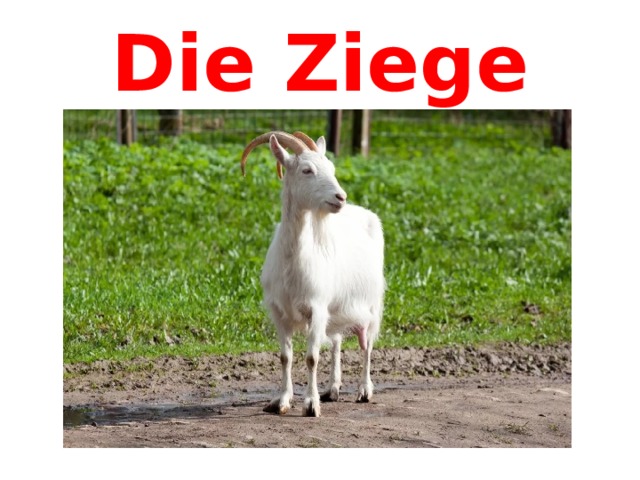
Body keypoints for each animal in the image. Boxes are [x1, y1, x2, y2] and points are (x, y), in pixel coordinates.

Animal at [241, 131, 385, 417]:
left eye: (332, 168)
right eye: (307, 170)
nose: (340, 197)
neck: (293, 260)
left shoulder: (317, 308)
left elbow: (311, 357)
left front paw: (310, 404)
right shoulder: (279, 311)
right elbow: (285, 357)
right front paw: (283, 400)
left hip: (372, 303)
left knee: (367, 345)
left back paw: (364, 390)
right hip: (336, 306)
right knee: (338, 341)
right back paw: (333, 389)